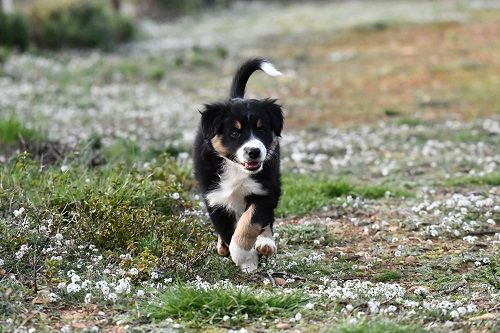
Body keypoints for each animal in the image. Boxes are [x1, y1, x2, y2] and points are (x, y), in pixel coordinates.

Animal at [192, 58, 284, 272]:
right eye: (234, 132)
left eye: (261, 130)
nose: (254, 151)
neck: (236, 170)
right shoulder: (215, 198)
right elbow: (227, 230)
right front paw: (245, 259)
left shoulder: (265, 191)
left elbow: (249, 222)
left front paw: (244, 256)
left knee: (266, 220)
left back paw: (266, 243)